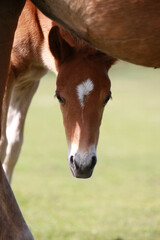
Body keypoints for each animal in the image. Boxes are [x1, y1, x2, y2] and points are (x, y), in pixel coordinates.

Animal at [0, 0, 115, 180]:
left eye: (106, 97)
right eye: (59, 97)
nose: (83, 165)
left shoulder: (28, 82)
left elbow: (13, 145)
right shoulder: (8, 75)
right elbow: (2, 142)